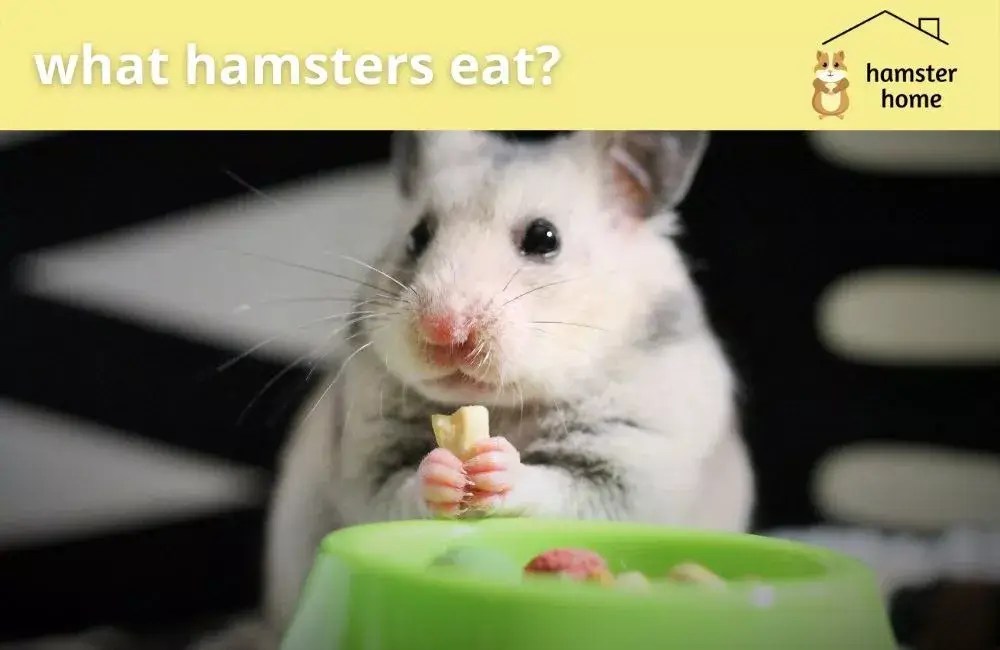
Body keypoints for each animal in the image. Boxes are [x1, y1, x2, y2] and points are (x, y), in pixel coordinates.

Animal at [251, 131, 755, 644]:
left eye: (543, 238)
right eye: (417, 236)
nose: (443, 329)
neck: (502, 404)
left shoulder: (630, 464)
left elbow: (561, 486)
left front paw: (498, 464)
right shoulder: (367, 457)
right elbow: (400, 486)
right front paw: (442, 470)